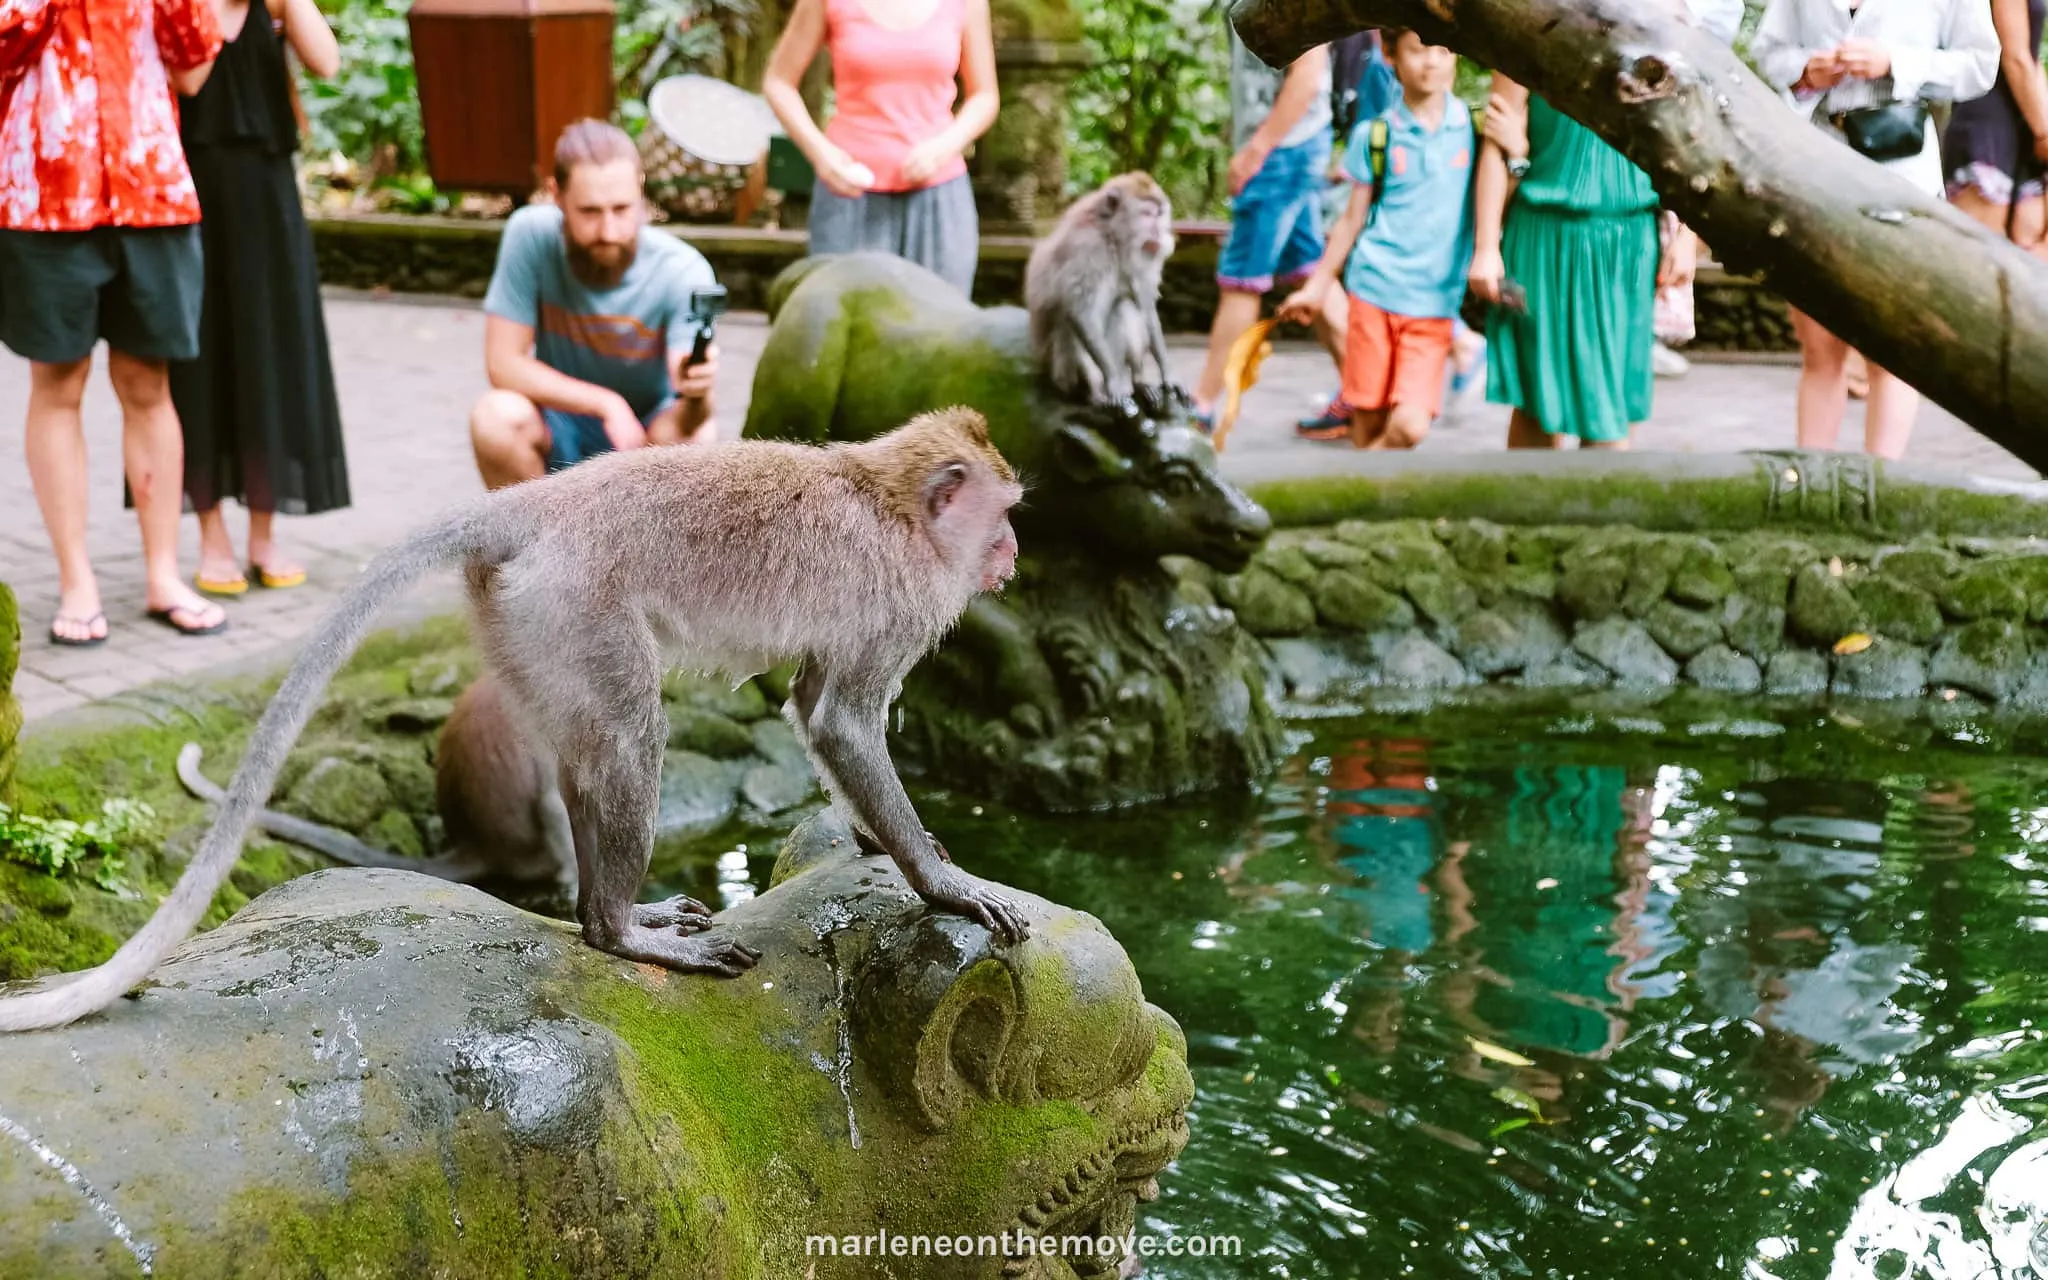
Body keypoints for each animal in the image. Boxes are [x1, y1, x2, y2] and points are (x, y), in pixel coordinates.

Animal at [1025, 171, 1179, 411]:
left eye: (1159, 214)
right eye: (1146, 215)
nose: (1156, 232)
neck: (1113, 236)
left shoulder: (1144, 259)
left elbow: (1147, 309)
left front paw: (1166, 372)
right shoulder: (1087, 248)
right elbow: (1079, 313)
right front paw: (1112, 382)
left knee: (1126, 305)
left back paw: (1139, 382)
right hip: (1061, 371)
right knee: (1073, 322)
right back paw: (1096, 391)